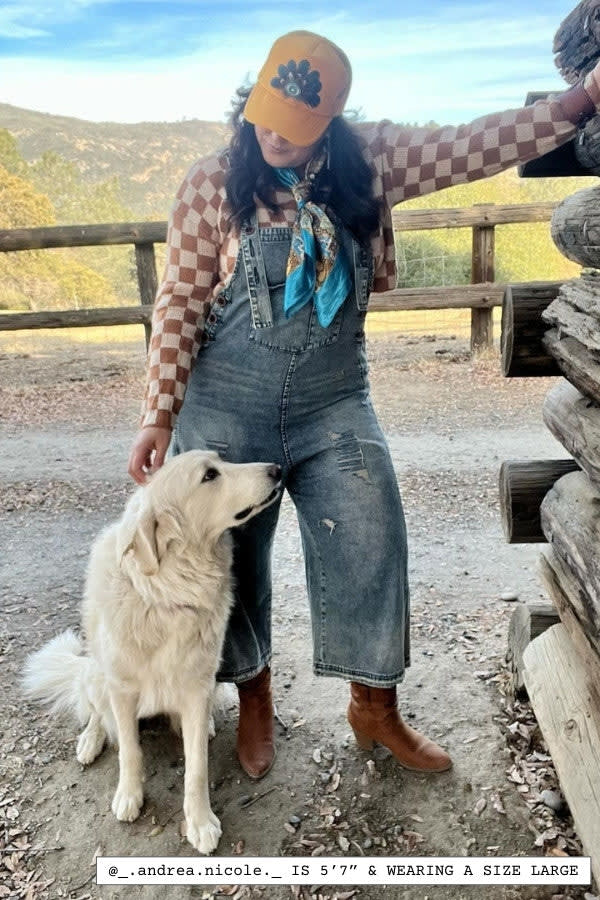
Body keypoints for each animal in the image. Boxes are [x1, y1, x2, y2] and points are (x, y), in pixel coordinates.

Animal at [22, 450, 281, 855]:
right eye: (210, 475)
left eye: (221, 462)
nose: (277, 469)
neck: (169, 592)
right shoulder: (122, 690)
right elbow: (130, 750)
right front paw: (129, 795)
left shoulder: (196, 687)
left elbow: (197, 767)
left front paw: (200, 821)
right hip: (95, 676)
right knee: (96, 714)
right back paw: (90, 740)